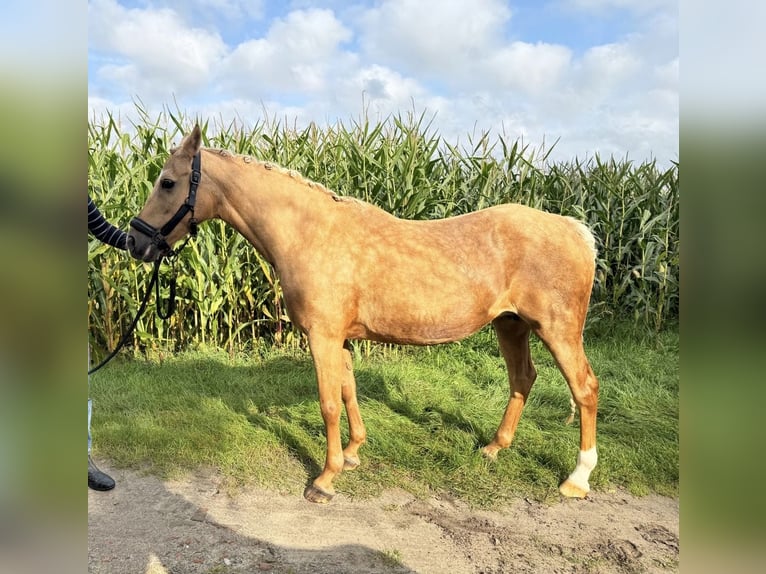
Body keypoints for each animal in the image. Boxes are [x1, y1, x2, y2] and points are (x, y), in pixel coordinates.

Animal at [129, 126, 604, 504]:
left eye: (167, 182)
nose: (136, 242)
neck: (311, 233)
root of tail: (573, 228)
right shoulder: (340, 338)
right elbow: (348, 392)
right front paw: (353, 454)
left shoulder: (321, 336)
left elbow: (327, 404)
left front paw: (324, 480)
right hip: (511, 325)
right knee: (523, 378)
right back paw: (493, 448)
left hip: (558, 330)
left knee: (585, 389)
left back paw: (577, 479)